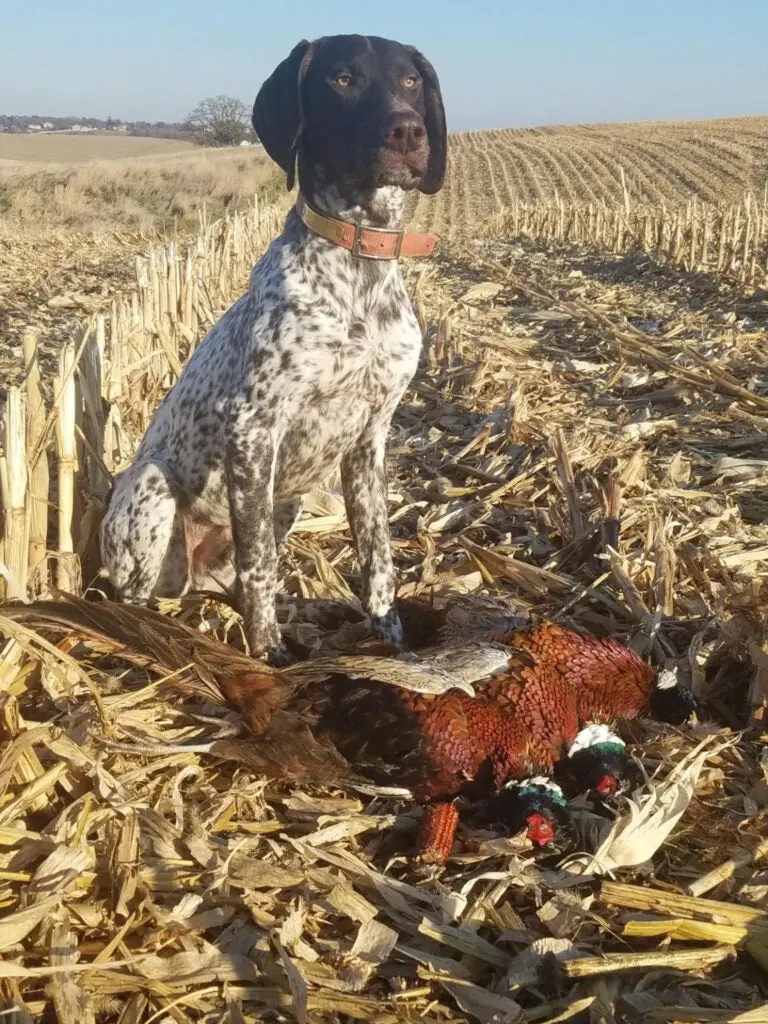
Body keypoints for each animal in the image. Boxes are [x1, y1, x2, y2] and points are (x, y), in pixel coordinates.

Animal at [102, 34, 450, 663]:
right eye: (342, 78)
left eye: (411, 81)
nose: (409, 131)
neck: (358, 267)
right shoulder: (253, 429)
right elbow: (260, 564)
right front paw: (269, 655)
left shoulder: (369, 439)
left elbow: (378, 560)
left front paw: (392, 644)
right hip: (152, 487)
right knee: (148, 593)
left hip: (285, 499)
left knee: (232, 582)